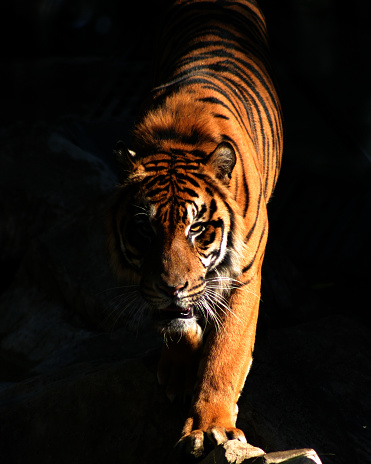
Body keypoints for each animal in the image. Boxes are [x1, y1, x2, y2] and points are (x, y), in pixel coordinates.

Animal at [107, 0, 282, 458]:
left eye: (197, 228)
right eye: (144, 230)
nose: (173, 287)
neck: (177, 141)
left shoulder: (243, 278)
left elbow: (225, 357)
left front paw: (210, 429)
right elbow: (176, 322)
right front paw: (179, 368)